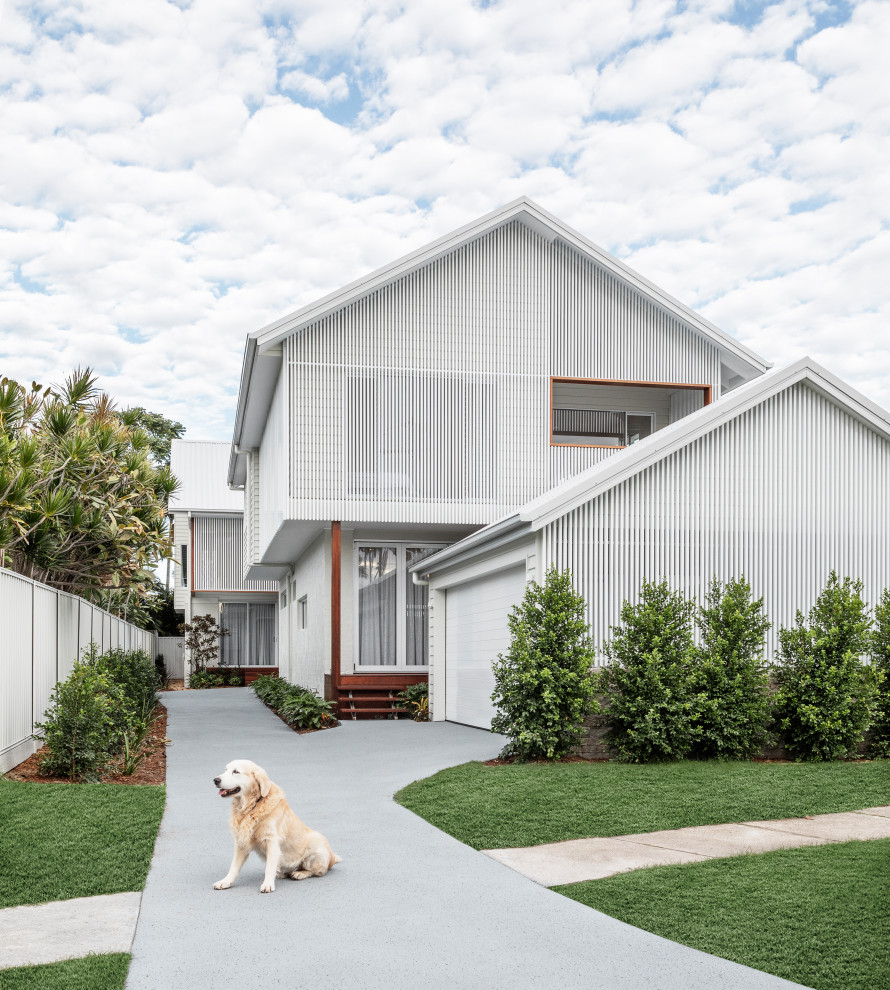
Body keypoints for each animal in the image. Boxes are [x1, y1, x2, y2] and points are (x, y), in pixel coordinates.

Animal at [212, 764, 340, 896]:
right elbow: (233, 867)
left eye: (236, 771)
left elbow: (269, 868)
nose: (215, 780)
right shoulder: (241, 843)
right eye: (226, 770)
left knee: (318, 872)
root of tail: (332, 858)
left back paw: (300, 873)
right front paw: (225, 882)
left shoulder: (272, 842)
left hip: (317, 843)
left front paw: (268, 884)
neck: (251, 807)